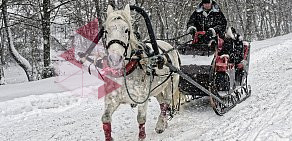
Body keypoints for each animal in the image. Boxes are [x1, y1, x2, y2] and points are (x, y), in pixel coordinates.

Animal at [101, 4, 181, 141]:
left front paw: (142, 136)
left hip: (171, 84)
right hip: (157, 89)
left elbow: (141, 119)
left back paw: (160, 124)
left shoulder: (142, 97)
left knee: (166, 102)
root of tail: (169, 46)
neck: (126, 72)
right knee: (162, 104)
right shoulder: (112, 99)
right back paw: (164, 122)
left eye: (126, 30)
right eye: (106, 31)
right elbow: (105, 118)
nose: (115, 59)